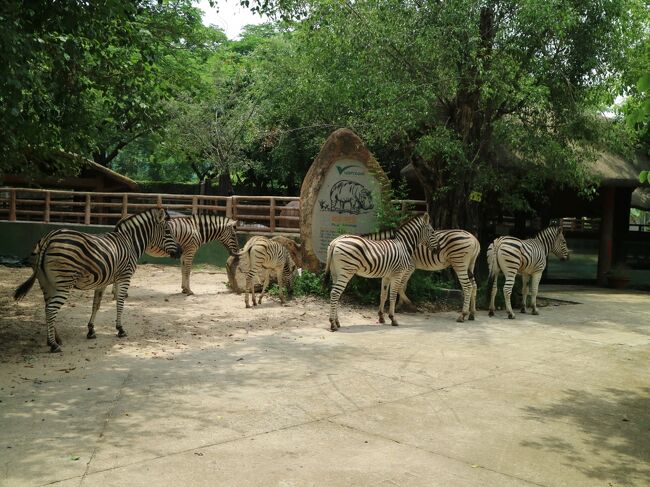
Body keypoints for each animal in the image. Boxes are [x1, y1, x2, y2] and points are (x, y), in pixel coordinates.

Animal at [13, 208, 181, 352]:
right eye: (168, 231)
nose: (180, 251)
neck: (130, 242)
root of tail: (50, 237)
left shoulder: (103, 282)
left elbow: (96, 305)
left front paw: (91, 330)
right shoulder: (124, 277)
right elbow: (120, 303)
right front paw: (120, 329)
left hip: (46, 283)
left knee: (47, 308)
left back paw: (54, 339)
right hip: (63, 283)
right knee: (51, 309)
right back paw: (54, 345)